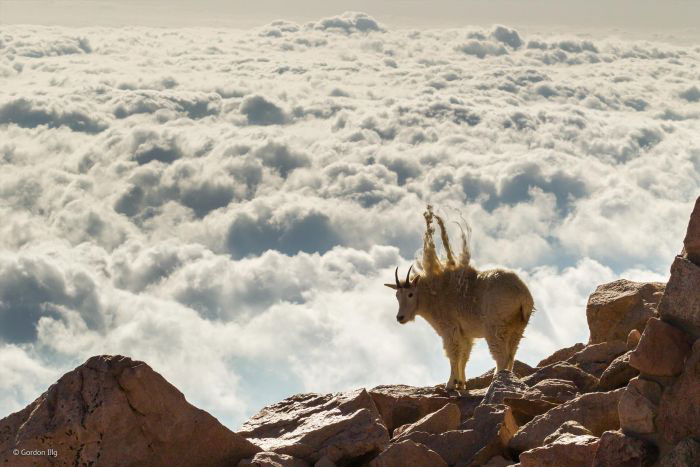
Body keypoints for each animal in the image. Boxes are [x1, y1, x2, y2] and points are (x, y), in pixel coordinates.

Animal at [386, 207, 532, 390]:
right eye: (397, 295)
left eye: (410, 294)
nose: (400, 317)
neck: (433, 295)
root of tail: (522, 295)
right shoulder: (465, 333)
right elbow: (464, 356)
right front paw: (461, 384)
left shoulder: (450, 328)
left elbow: (453, 354)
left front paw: (450, 384)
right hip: (518, 327)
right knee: (512, 354)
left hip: (496, 327)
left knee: (501, 356)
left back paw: (496, 382)